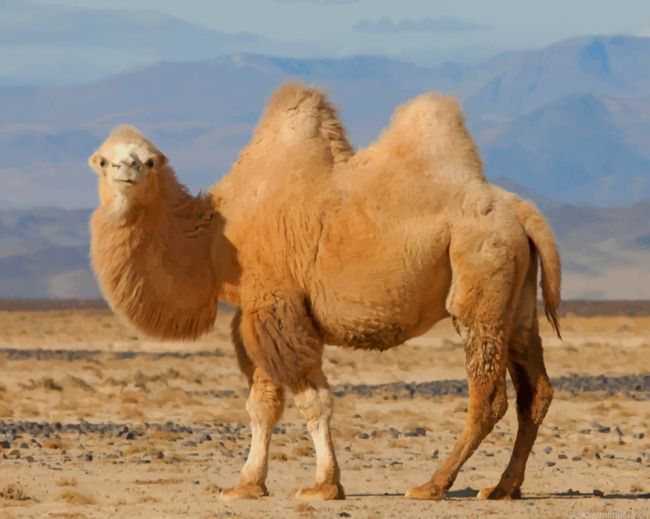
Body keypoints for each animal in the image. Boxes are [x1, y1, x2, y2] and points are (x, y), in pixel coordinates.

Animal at [88, 82, 561, 502]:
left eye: (150, 161)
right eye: (103, 160)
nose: (126, 170)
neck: (214, 236)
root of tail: (522, 212)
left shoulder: (277, 306)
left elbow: (310, 401)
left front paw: (324, 485)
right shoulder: (256, 314)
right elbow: (263, 404)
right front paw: (247, 484)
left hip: (480, 280)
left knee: (489, 396)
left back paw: (433, 485)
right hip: (517, 303)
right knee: (536, 391)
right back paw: (502, 487)